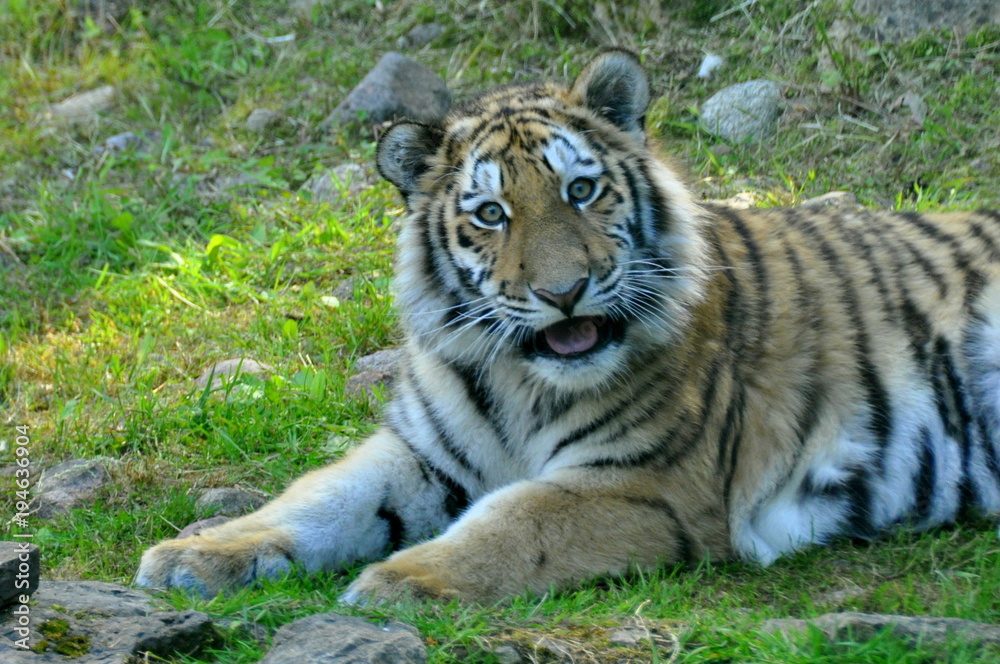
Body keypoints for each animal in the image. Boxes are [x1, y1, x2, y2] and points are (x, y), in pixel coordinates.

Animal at [137, 50, 1000, 604]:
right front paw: (194, 554)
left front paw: (402, 578)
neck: (516, 377)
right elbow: (315, 498)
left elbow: (514, 522)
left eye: (582, 191)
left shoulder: (643, 481)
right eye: (491, 214)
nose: (565, 292)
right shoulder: (420, 454)